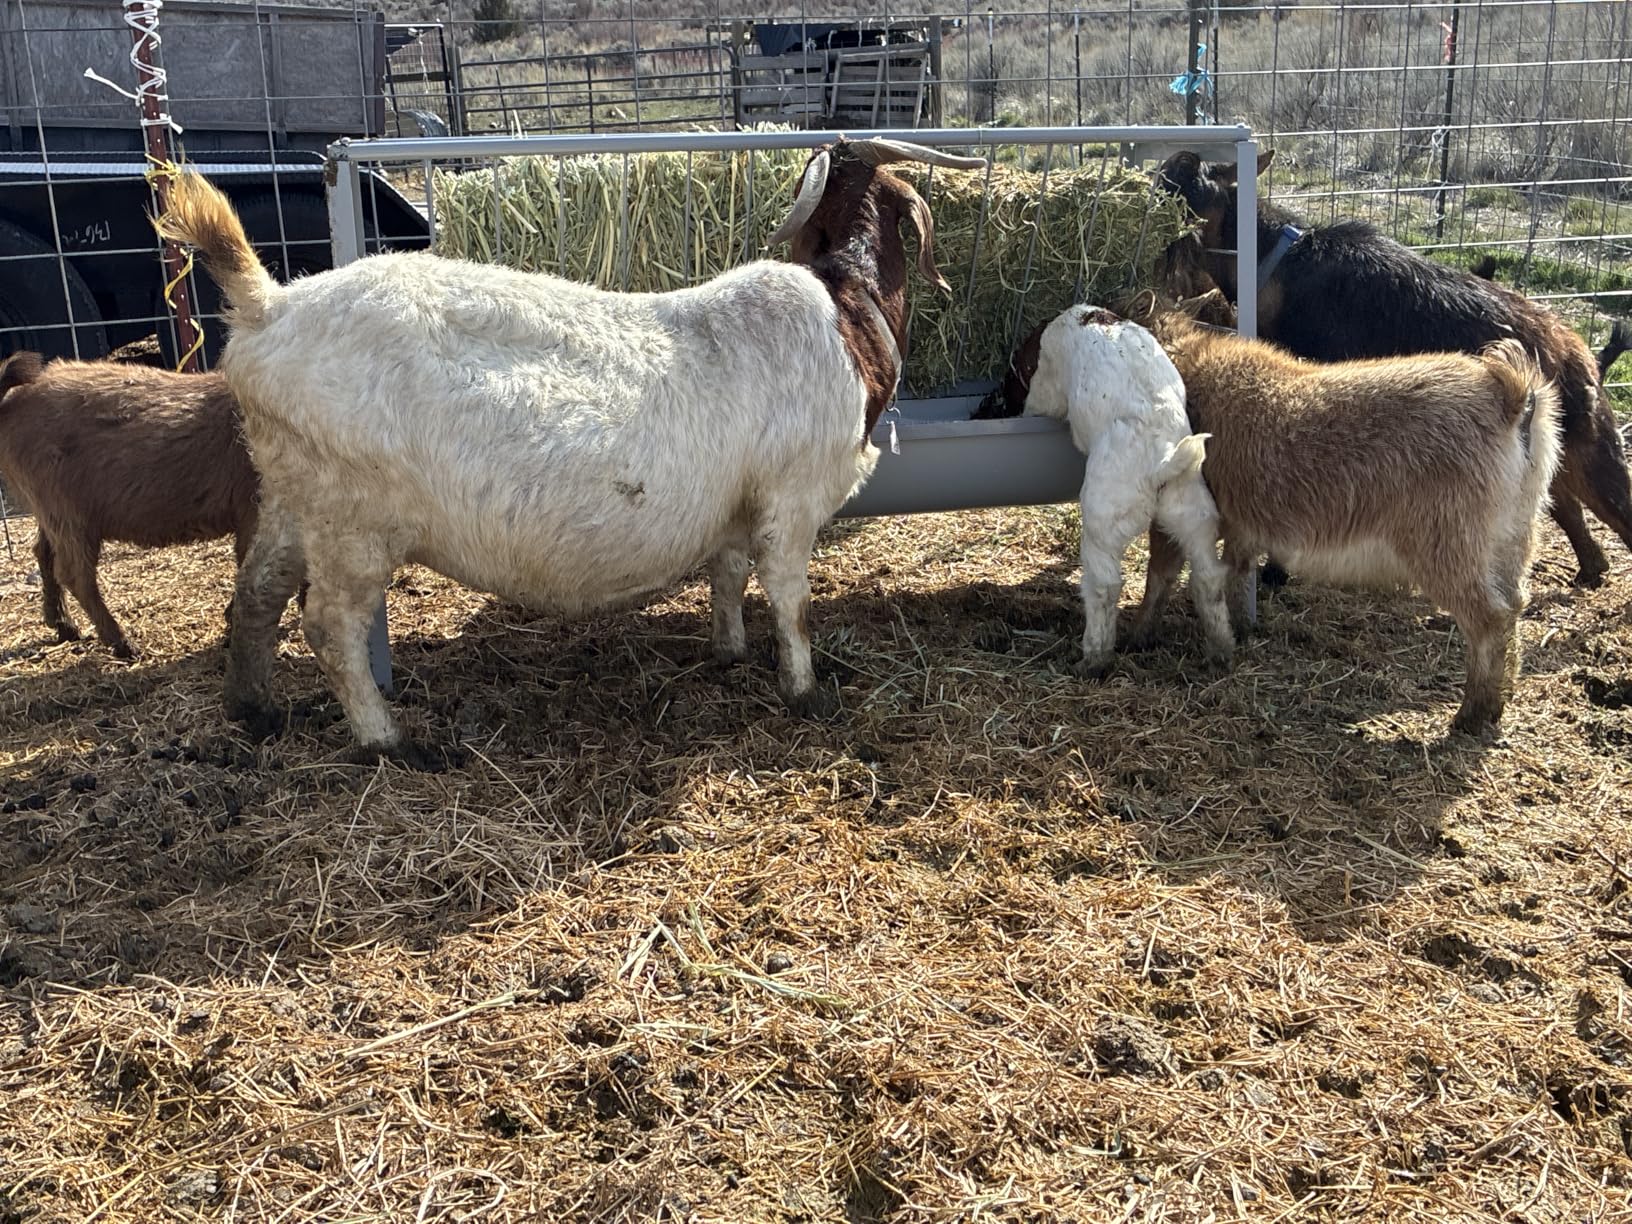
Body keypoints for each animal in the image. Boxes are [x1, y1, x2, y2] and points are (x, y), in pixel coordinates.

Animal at [0, 350, 259, 658]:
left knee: (44, 554)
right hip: (66, 512)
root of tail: (14, 398)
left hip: (49, 512)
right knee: (75, 574)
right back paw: (122, 643)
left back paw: (65, 626)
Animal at [156, 138, 985, 766]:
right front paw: (806, 692)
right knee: (330, 627)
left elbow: (727, 575)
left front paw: (729, 651)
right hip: (351, 517)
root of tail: (268, 306)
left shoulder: (736, 503)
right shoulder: (793, 494)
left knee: (255, 592)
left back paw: (254, 708)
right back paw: (388, 739)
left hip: (293, 492)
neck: (847, 314)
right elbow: (791, 598)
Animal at [984, 305, 1562, 734]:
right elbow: (1235, 574)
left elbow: (1161, 573)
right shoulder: (1239, 525)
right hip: (1515, 536)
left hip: (1449, 544)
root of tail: (1509, 395)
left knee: (1489, 617)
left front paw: (1139, 637)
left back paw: (1471, 716)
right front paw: (1242, 631)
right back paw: (1500, 700)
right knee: (1515, 605)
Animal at [1157, 149, 1627, 591]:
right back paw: (1590, 571)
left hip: (1596, 449)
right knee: (1568, 509)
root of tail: (1580, 357)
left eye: (1184, 193)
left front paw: (1277, 569)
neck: (1272, 262)